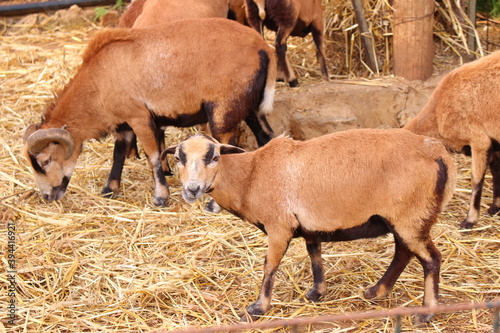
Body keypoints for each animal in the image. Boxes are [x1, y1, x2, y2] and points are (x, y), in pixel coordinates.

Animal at [23, 18, 278, 206]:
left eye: (45, 161)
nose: (47, 196)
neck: (97, 83)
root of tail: (263, 48)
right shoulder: (124, 123)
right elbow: (118, 153)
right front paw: (109, 190)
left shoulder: (139, 117)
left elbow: (153, 156)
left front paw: (161, 197)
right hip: (248, 104)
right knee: (266, 136)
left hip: (223, 108)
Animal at [163, 130, 458, 322]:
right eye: (178, 158)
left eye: (213, 157)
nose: (192, 189)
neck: (250, 176)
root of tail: (440, 153)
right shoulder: (310, 226)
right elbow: (315, 255)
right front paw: (317, 292)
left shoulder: (278, 226)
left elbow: (269, 266)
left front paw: (257, 308)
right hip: (406, 218)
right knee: (403, 252)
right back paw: (376, 292)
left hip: (411, 215)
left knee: (431, 258)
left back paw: (425, 314)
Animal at [404, 50, 500, 230]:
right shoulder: (493, 143)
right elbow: (496, 173)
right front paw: (494, 208)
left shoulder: (479, 140)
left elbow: (476, 180)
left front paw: (469, 221)